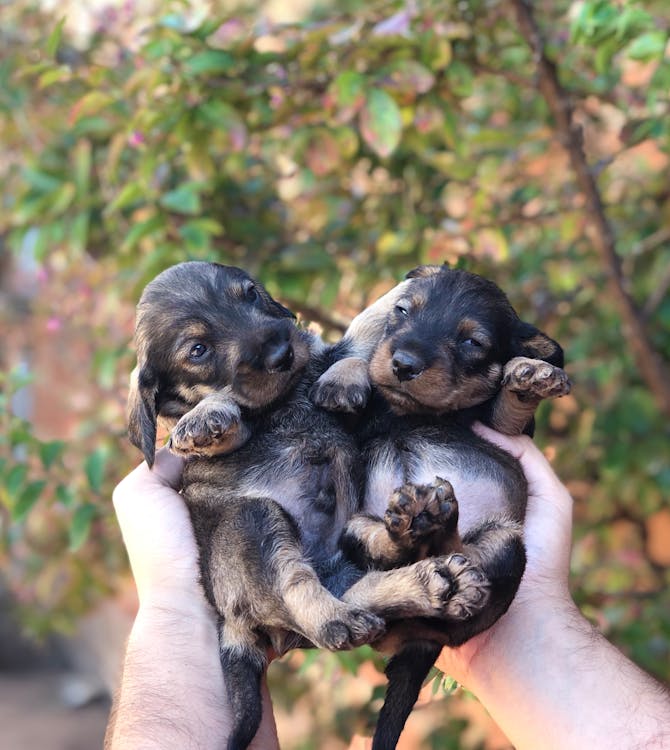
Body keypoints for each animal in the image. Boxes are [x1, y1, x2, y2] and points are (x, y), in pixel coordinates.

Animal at [127, 260, 484, 750]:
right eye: (198, 349)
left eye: (250, 294)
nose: (281, 351)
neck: (287, 393)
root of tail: (231, 628)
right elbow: (227, 407)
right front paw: (205, 415)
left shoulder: (330, 364)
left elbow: (356, 339)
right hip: (257, 520)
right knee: (300, 591)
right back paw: (347, 614)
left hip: (347, 557)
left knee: (362, 583)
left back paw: (420, 565)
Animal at [312, 262, 572, 748]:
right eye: (401, 310)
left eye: (472, 342)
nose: (403, 364)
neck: (410, 412)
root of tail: (421, 644)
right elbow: (362, 364)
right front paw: (343, 378)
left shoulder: (505, 430)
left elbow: (508, 404)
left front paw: (529, 373)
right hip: (358, 526)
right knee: (384, 556)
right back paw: (411, 524)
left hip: (507, 545)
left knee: (455, 553)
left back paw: (443, 536)